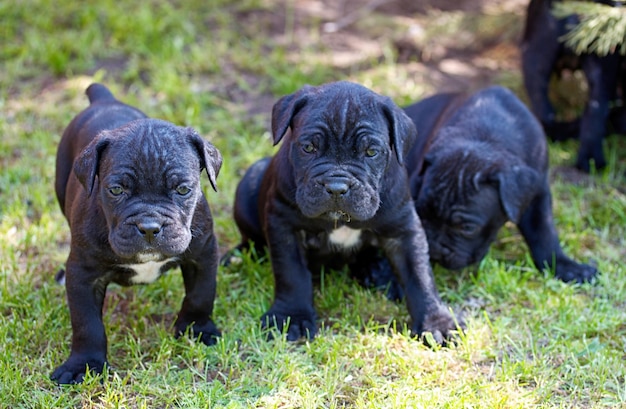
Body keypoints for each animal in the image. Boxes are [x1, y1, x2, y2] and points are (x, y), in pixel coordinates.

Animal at [51, 83, 222, 382]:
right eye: (116, 190)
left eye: (183, 190)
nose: (150, 227)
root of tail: (104, 100)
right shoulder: (83, 274)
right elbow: (87, 323)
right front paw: (83, 364)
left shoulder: (203, 255)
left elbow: (201, 294)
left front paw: (197, 330)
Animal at [225, 81, 458, 342]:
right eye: (308, 147)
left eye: (371, 152)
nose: (336, 187)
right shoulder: (284, 226)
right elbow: (292, 274)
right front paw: (291, 317)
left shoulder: (404, 229)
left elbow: (420, 275)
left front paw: (437, 322)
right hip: (250, 183)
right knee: (250, 239)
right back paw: (234, 258)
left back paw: (378, 272)